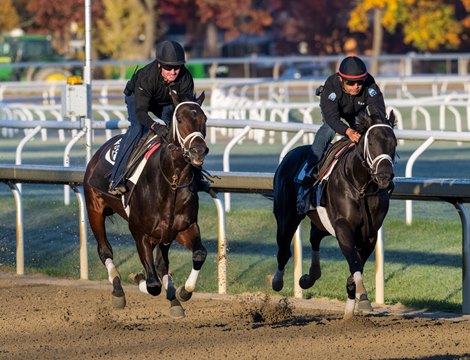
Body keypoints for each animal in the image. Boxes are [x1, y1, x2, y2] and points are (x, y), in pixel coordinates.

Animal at [84, 91, 207, 320]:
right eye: (179, 119)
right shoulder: (140, 233)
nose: (199, 151)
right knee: (105, 251)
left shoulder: (184, 227)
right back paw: (118, 290)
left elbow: (199, 254)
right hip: (94, 208)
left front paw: (184, 292)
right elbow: (152, 285)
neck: (171, 182)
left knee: (162, 265)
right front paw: (139, 278)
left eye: (204, 119)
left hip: (166, 235)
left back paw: (174, 299)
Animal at [272, 109, 396, 318]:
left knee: (314, 237)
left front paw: (353, 304)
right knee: (283, 250)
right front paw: (363, 298)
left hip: (321, 221)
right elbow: (354, 261)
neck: (360, 186)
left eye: (393, 143)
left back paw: (310, 276)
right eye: (371, 143)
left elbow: (357, 264)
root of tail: (289, 155)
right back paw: (277, 281)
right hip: (286, 217)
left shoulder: (370, 234)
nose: (385, 176)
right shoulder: (343, 227)